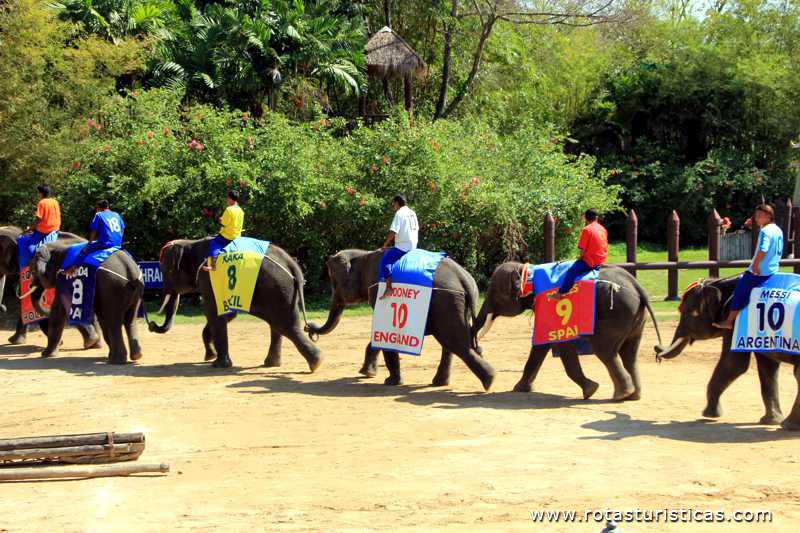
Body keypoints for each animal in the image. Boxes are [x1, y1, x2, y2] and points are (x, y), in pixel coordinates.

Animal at [150, 238, 321, 370]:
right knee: (278, 325)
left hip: (279, 289)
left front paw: (217, 364)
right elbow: (227, 313)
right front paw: (210, 357)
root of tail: (293, 265)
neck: (191, 243)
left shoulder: (209, 277)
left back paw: (316, 363)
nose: (151, 324)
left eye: (165, 271)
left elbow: (214, 312)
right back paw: (273, 364)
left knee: (284, 325)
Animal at [306, 249, 496, 390]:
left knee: (456, 343)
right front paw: (367, 373)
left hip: (447, 301)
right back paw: (440, 383)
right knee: (451, 342)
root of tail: (464, 279)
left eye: (335, 284)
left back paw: (489, 380)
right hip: (456, 304)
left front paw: (387, 381)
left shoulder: (378, 290)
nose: (309, 327)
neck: (364, 254)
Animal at [473, 262, 662, 400]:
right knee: (629, 354)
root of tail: (638, 287)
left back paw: (621, 395)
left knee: (604, 350)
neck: (529, 271)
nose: (479, 348)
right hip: (635, 318)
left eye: (494, 293)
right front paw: (519, 389)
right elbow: (541, 346)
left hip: (617, 313)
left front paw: (591, 390)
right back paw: (633, 396)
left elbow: (559, 344)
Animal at [654, 276, 800, 430]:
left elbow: (734, 364)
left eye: (690, 314)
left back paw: (789, 425)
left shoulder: (735, 321)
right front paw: (770, 421)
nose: (656, 348)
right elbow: (768, 366)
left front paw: (709, 415)